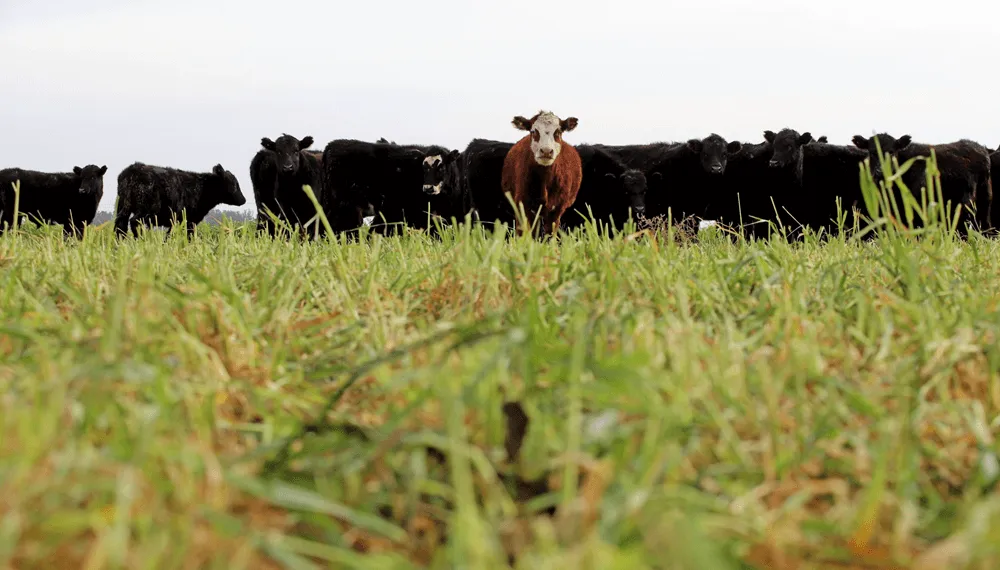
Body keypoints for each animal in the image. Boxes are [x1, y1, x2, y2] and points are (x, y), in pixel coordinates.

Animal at [114, 162, 246, 237]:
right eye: (235, 184)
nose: (244, 200)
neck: (202, 187)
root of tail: (133, 169)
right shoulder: (189, 220)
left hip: (123, 207)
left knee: (120, 225)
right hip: (147, 210)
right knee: (134, 222)